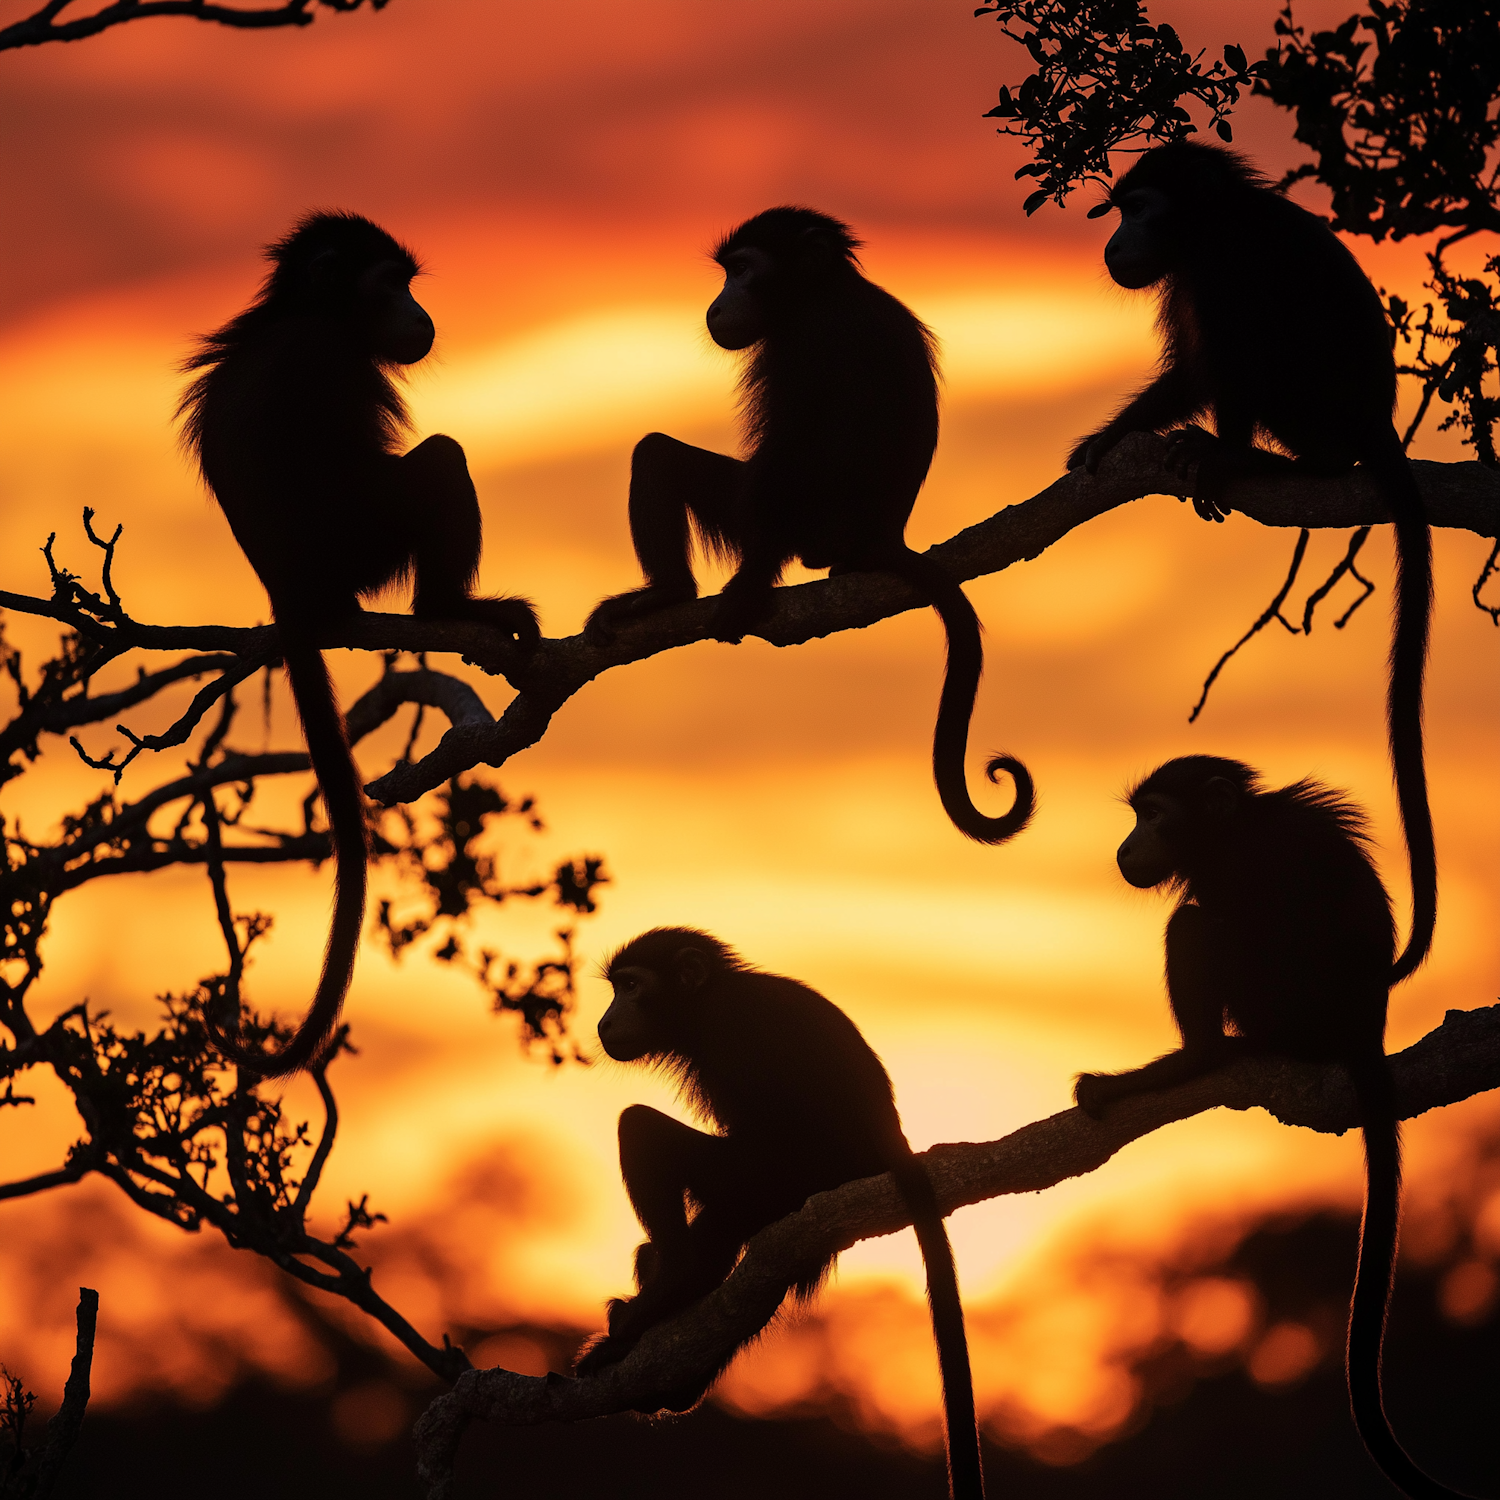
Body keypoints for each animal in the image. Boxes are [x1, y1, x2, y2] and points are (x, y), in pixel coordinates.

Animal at [178, 211, 539, 1078]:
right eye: (390, 285)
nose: (420, 313)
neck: (307, 311)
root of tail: (293, 597)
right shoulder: (331, 362)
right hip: (362, 549)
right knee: (440, 461)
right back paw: (451, 605)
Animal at [576, 927, 986, 1500]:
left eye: (631, 987)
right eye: (617, 988)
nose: (605, 1021)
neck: (706, 1002)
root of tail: (888, 1149)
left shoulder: (732, 1041)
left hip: (784, 1182)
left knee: (645, 1133)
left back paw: (676, 1283)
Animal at [583, 207, 1033, 847]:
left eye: (743, 269)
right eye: (727, 272)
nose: (718, 302)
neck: (825, 289)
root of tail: (880, 538)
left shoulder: (803, 341)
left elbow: (780, 460)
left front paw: (748, 586)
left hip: (808, 527)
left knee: (661, 457)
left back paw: (671, 593)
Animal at [1069, 140, 1435, 984]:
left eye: (1137, 209)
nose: (1114, 240)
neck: (1209, 225)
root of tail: (1377, 419)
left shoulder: (1225, 266)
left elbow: (1233, 364)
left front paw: (1222, 453)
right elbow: (1193, 374)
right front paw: (1112, 439)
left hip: (1318, 405)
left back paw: (1275, 463)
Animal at [1074, 756, 1476, 1500]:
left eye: (1154, 815)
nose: (1127, 844)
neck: (1235, 827)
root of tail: (1358, 1031)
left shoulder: (1238, 871)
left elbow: (1210, 919)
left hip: (1279, 1007)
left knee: (1195, 927)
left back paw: (1197, 1059)